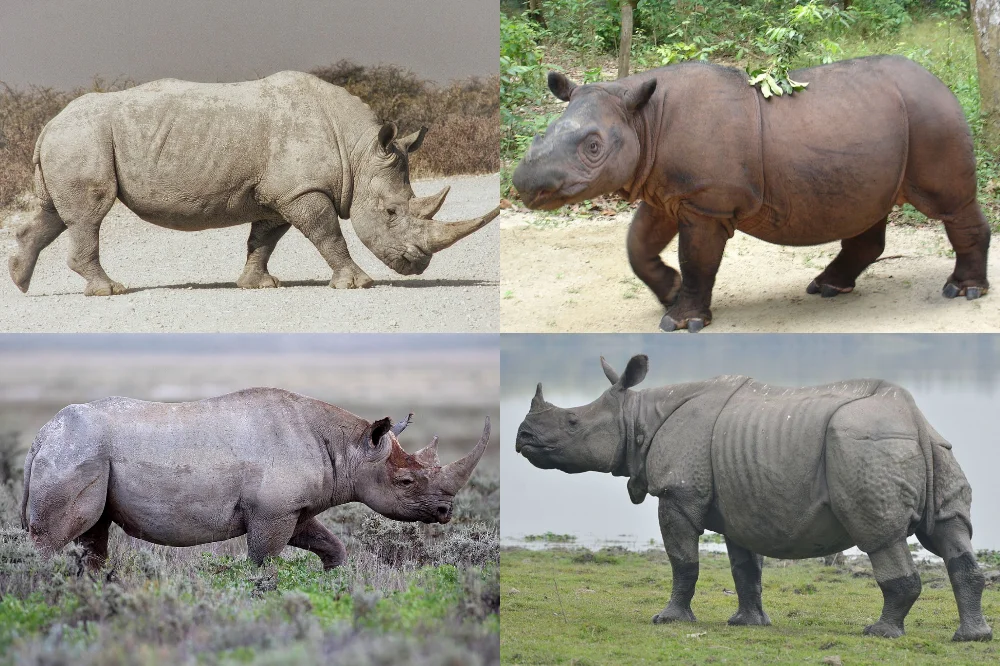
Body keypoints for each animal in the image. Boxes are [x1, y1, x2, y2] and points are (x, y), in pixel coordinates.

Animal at [8, 71, 499, 296]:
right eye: (392, 213)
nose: (417, 265)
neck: (358, 153)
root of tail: (47, 125)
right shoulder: (301, 191)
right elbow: (328, 234)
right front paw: (358, 284)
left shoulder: (278, 193)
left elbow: (264, 239)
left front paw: (258, 285)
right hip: (81, 138)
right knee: (89, 213)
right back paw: (110, 291)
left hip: (74, 140)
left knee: (56, 213)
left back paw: (19, 281)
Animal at [21, 388, 490, 570]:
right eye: (406, 483)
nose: (446, 511)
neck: (351, 447)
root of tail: (42, 435)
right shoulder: (272, 511)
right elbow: (263, 562)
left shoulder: (291, 508)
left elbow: (330, 544)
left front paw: (333, 581)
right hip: (77, 451)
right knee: (56, 537)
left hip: (82, 452)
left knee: (93, 536)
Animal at [512, 56, 991, 332]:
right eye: (542, 134)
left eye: (593, 147)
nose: (524, 185)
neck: (642, 118)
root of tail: (941, 82)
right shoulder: (667, 192)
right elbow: (638, 246)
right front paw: (669, 291)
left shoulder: (705, 202)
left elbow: (697, 259)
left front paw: (680, 322)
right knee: (867, 210)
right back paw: (827, 288)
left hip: (932, 116)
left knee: (951, 205)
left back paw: (962, 292)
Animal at [515, 355, 992, 641]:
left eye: (572, 423)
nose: (522, 437)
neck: (637, 418)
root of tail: (913, 419)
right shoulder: (741, 501)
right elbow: (745, 568)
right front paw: (748, 624)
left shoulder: (679, 493)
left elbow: (683, 562)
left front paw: (668, 619)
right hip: (933, 448)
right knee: (950, 533)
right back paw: (972, 637)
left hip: (864, 446)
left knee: (880, 535)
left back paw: (879, 633)